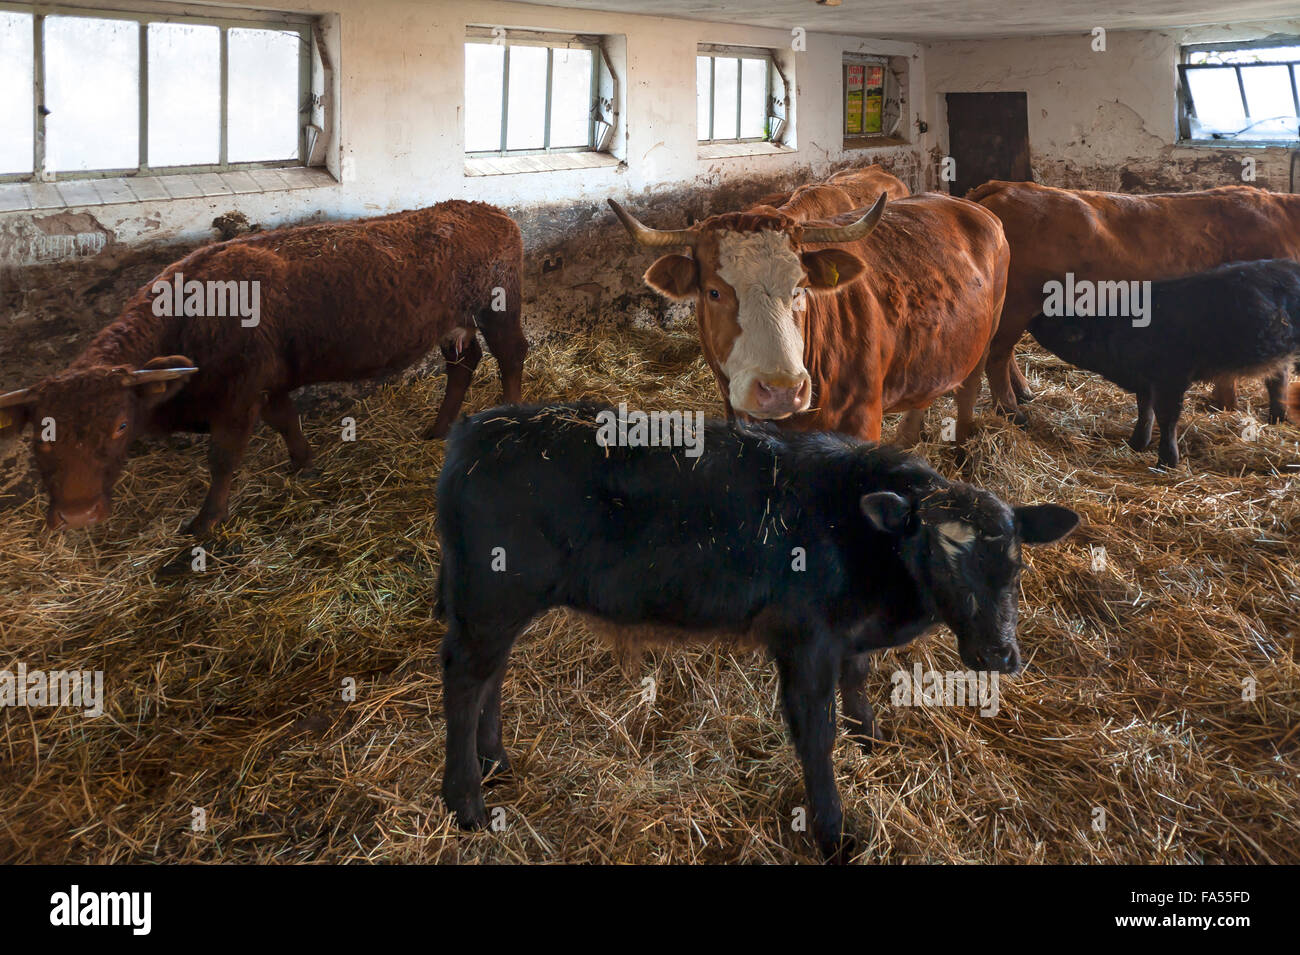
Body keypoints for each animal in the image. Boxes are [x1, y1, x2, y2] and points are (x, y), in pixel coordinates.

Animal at [2, 200, 527, 537]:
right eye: (39, 437)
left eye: (120, 425)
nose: (77, 515)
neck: (189, 316)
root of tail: (485, 209)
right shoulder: (266, 384)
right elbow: (286, 419)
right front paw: (304, 463)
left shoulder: (238, 395)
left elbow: (223, 458)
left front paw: (205, 522)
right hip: (453, 323)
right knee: (463, 365)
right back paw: (438, 429)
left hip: (498, 308)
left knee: (511, 355)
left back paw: (508, 419)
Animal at [434, 400, 1076, 862]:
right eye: (942, 558)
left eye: (1016, 565)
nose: (999, 654)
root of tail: (474, 431)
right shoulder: (805, 639)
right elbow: (816, 734)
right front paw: (833, 834)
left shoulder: (849, 636)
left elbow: (859, 684)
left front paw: (873, 741)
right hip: (491, 597)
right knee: (465, 680)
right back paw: (466, 802)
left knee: (490, 676)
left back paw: (496, 762)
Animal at [605, 175, 1003, 444]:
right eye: (714, 292)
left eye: (801, 290)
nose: (782, 389)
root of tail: (975, 209)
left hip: (987, 336)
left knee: (969, 388)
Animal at [972, 180, 1300, 420]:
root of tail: (1008, 186)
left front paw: (1223, 404)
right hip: (1016, 305)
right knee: (997, 355)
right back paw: (1010, 410)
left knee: (1004, 353)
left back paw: (1023, 393)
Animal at [1024, 257, 1300, 467]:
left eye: (1053, 321)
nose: (1031, 319)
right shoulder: (1144, 381)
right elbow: (1144, 411)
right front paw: (1137, 443)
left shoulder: (1171, 378)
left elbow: (1166, 416)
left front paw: (1166, 460)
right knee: (1278, 381)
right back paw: (1278, 417)